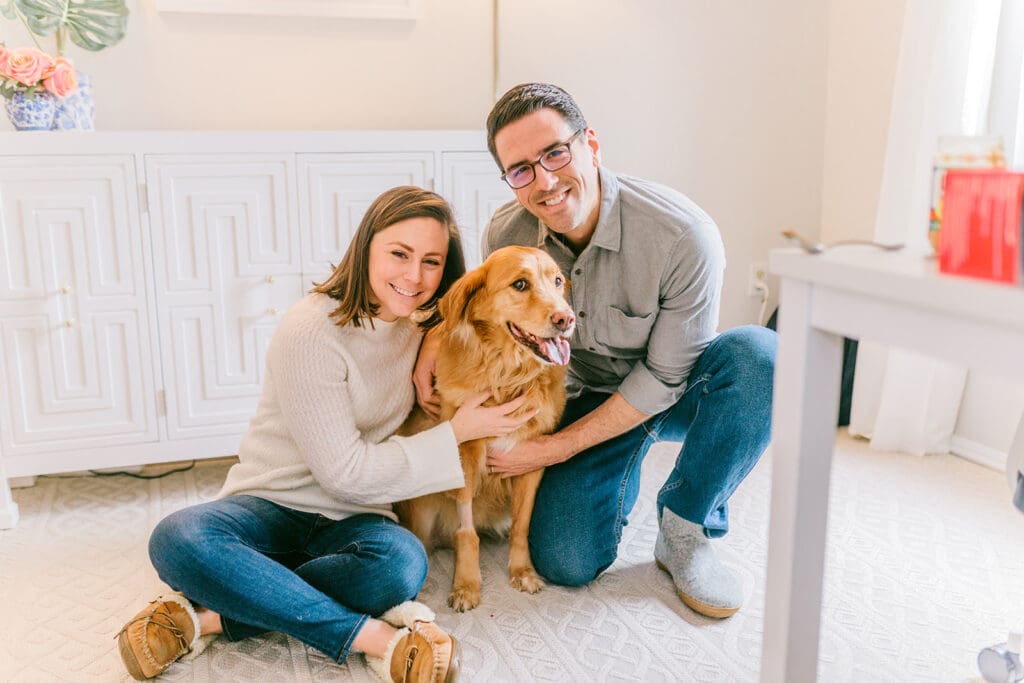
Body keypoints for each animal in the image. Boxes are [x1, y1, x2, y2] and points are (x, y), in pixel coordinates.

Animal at [397, 246, 577, 614]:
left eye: (557, 281)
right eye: (520, 284)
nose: (567, 319)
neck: (508, 374)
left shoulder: (532, 458)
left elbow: (522, 525)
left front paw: (522, 571)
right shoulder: (464, 455)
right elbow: (467, 532)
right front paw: (467, 584)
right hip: (421, 508)